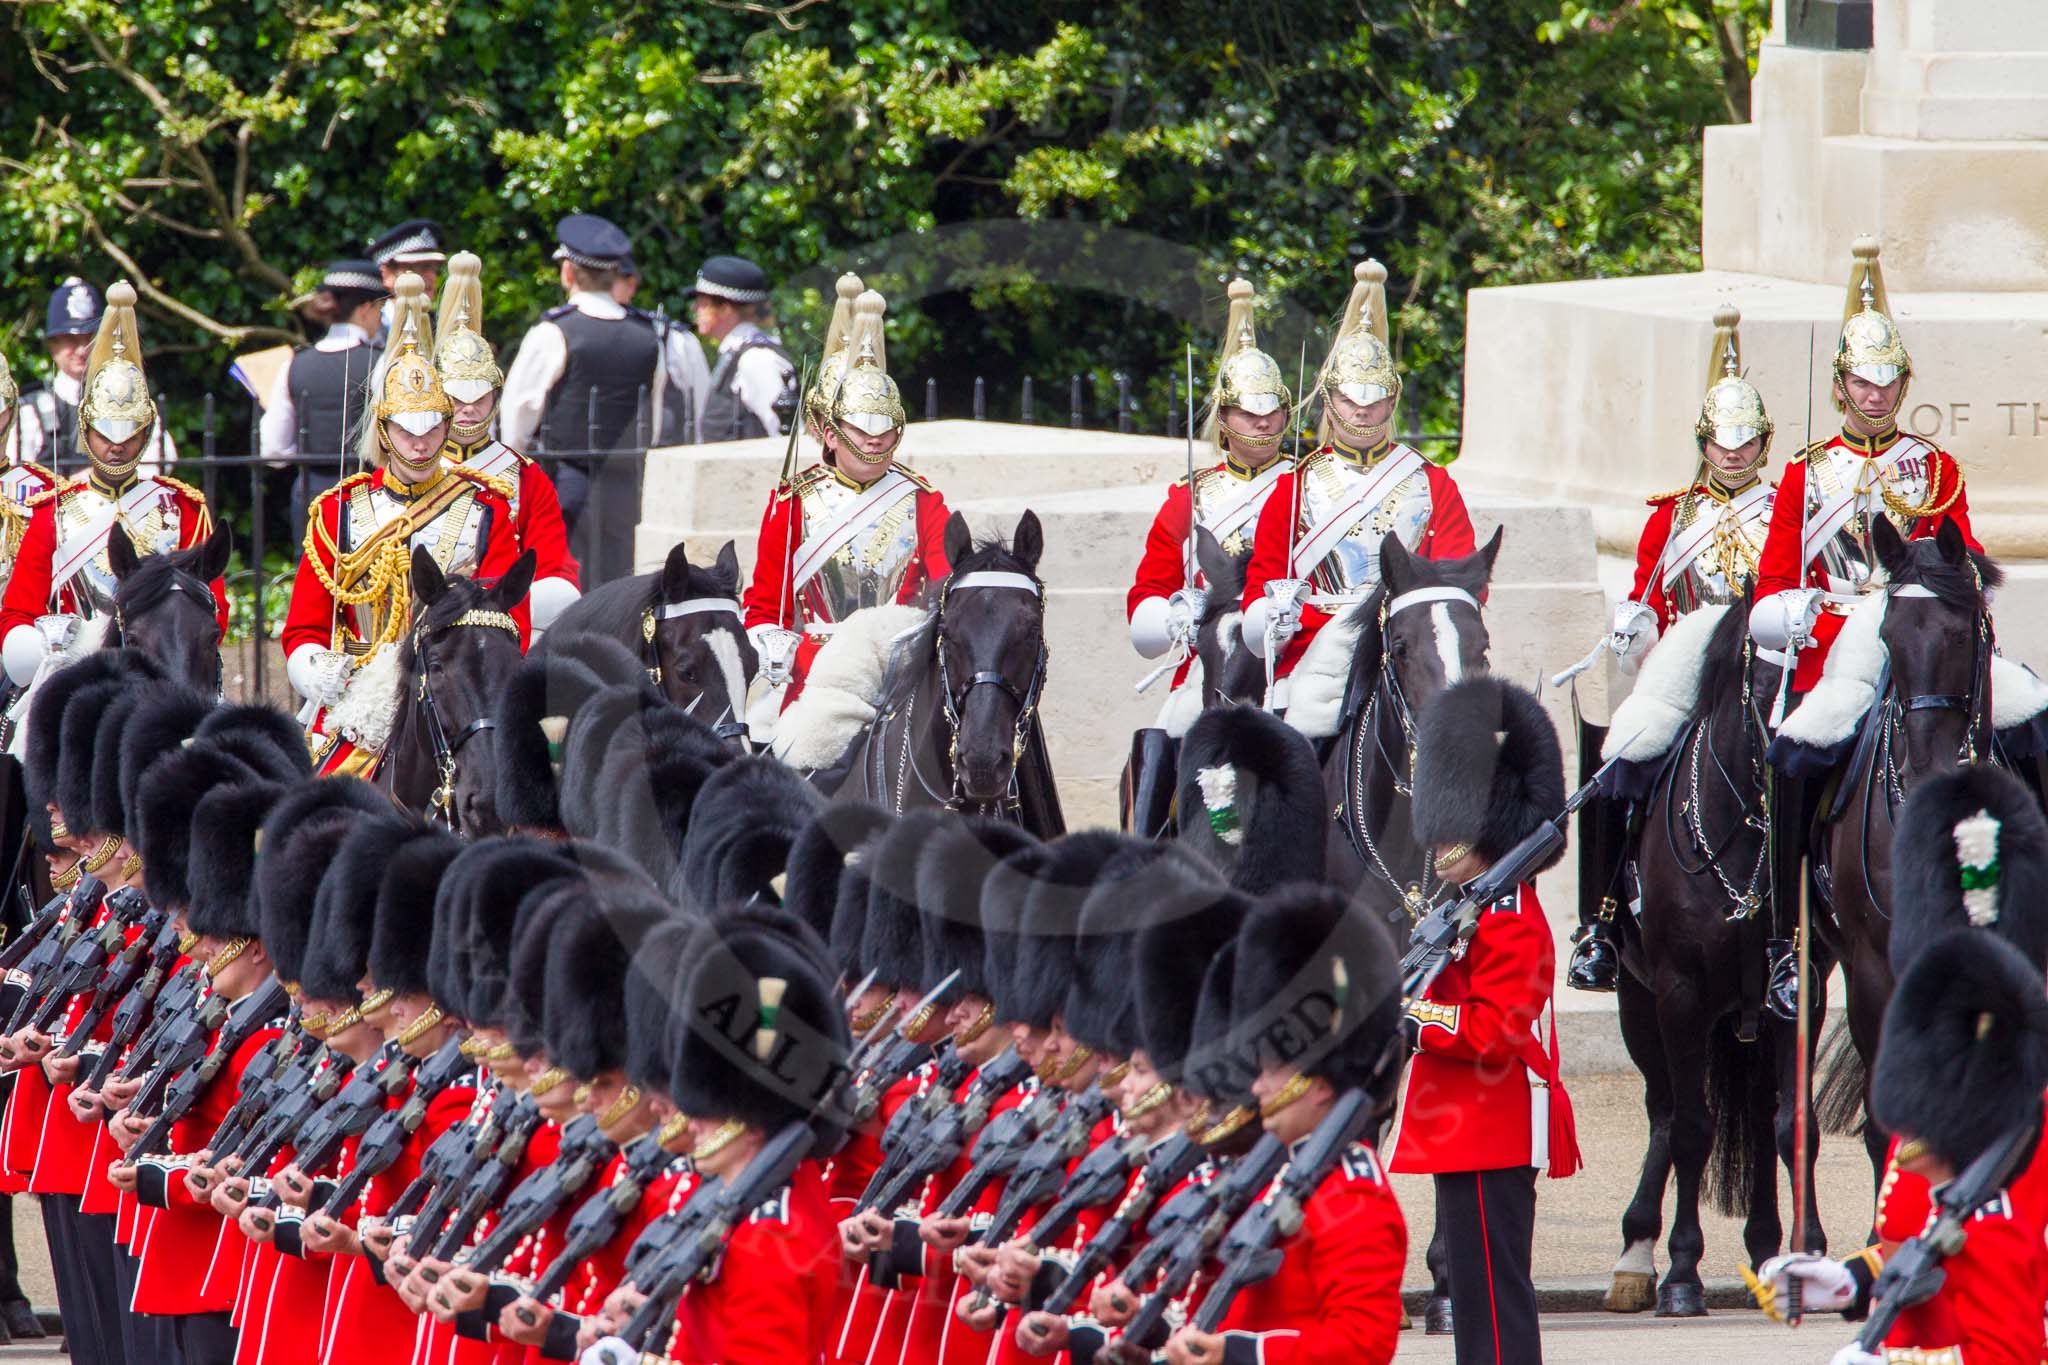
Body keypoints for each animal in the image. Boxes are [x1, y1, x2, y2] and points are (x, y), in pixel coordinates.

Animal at [1605, 601, 1818, 1317]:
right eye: (1768, 685)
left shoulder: (1796, 993)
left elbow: (1789, 1123)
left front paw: (1808, 1253)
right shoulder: (1680, 994)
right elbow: (1693, 1128)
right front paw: (1681, 1272)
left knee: (1753, 1114)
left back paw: (1764, 1245)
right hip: (1638, 1003)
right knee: (1666, 1111)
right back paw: (1637, 1252)